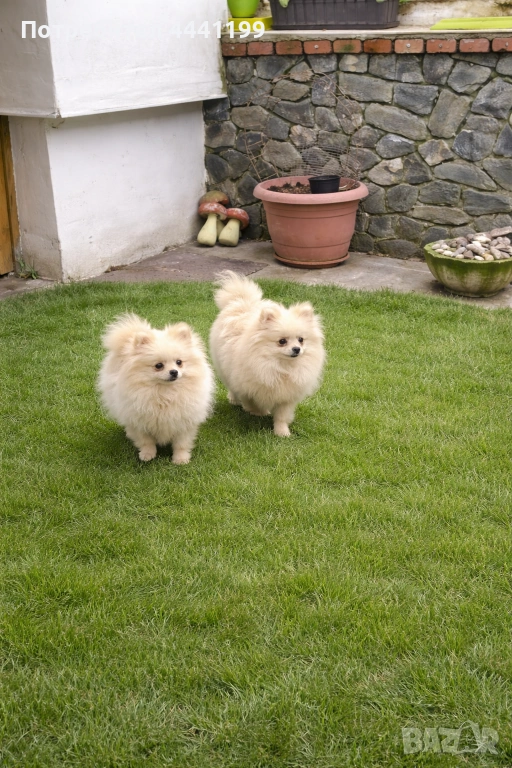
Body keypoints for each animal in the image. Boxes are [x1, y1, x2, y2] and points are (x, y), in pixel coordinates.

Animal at [98, 314, 214, 464]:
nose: (174, 372)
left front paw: (181, 459)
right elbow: (146, 441)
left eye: (179, 362)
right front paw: (147, 455)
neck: (165, 393)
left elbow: (181, 443)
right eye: (159, 365)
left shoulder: (184, 421)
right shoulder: (139, 421)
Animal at [209, 272, 325, 437]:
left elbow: (282, 416)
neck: (281, 367)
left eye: (301, 340)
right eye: (282, 341)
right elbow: (252, 401)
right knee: (231, 386)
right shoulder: (248, 387)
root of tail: (240, 301)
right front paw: (259, 412)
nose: (297, 349)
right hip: (225, 367)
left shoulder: (286, 397)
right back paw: (234, 400)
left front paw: (282, 432)